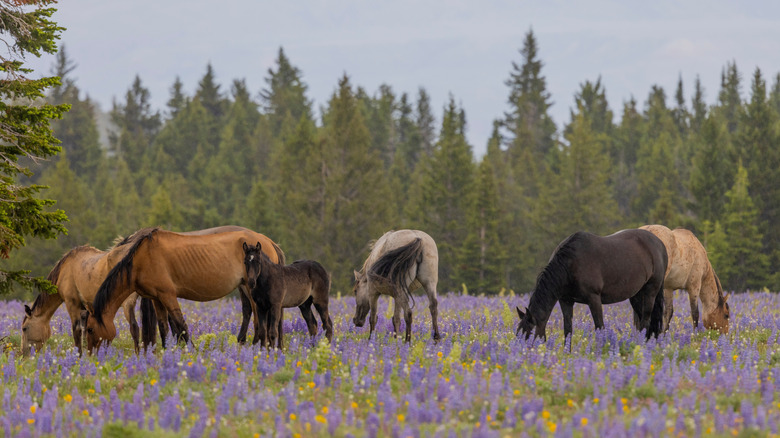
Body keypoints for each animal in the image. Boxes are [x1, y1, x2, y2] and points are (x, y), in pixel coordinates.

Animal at [83, 228, 284, 352]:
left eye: (90, 329)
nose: (91, 355)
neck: (142, 259)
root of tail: (268, 241)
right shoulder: (156, 299)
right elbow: (164, 327)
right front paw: (165, 352)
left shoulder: (168, 296)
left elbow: (181, 326)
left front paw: (191, 351)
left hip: (251, 290)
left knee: (258, 321)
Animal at [516, 229, 667, 341]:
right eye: (517, 333)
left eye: (529, 334)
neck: (571, 263)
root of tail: (660, 244)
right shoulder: (566, 301)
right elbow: (568, 330)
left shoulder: (593, 299)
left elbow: (599, 327)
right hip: (636, 295)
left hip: (650, 291)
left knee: (646, 321)